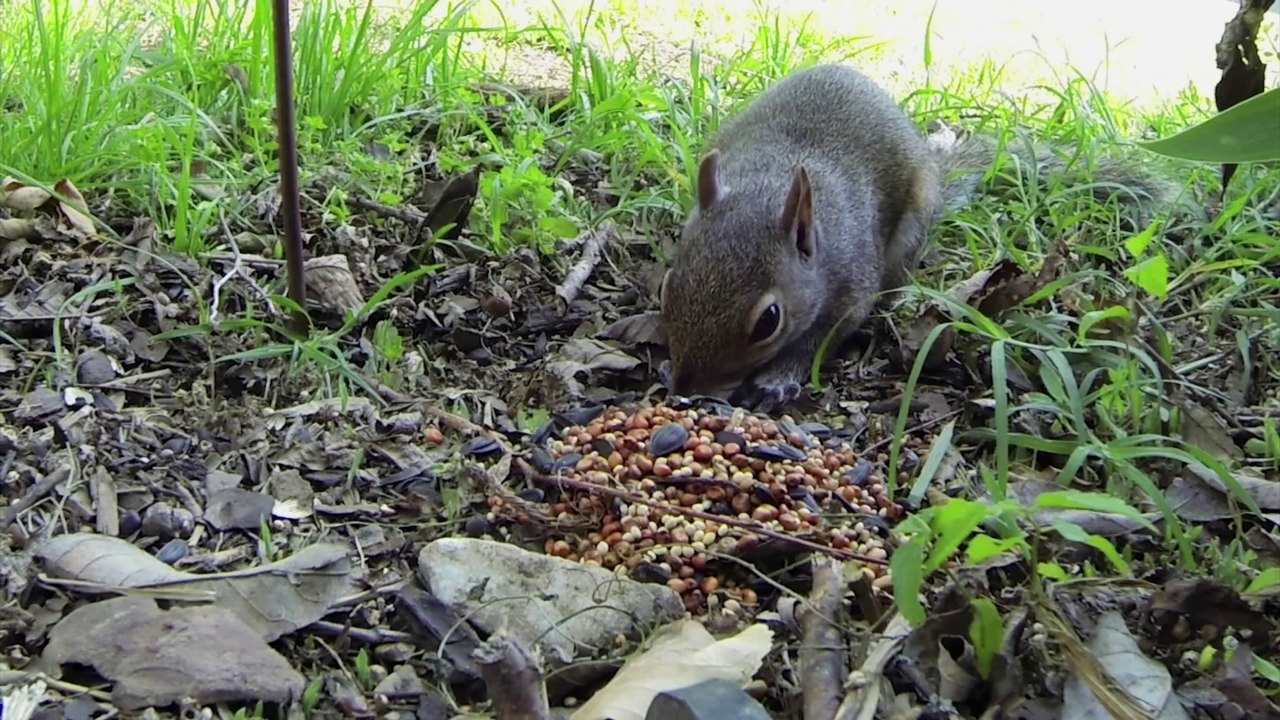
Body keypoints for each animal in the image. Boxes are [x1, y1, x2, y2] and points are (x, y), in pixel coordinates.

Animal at [657, 62, 1180, 412]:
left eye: (768, 321)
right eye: (667, 288)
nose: (685, 389)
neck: (767, 185)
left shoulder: (852, 287)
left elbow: (821, 340)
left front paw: (777, 379)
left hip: (909, 236)